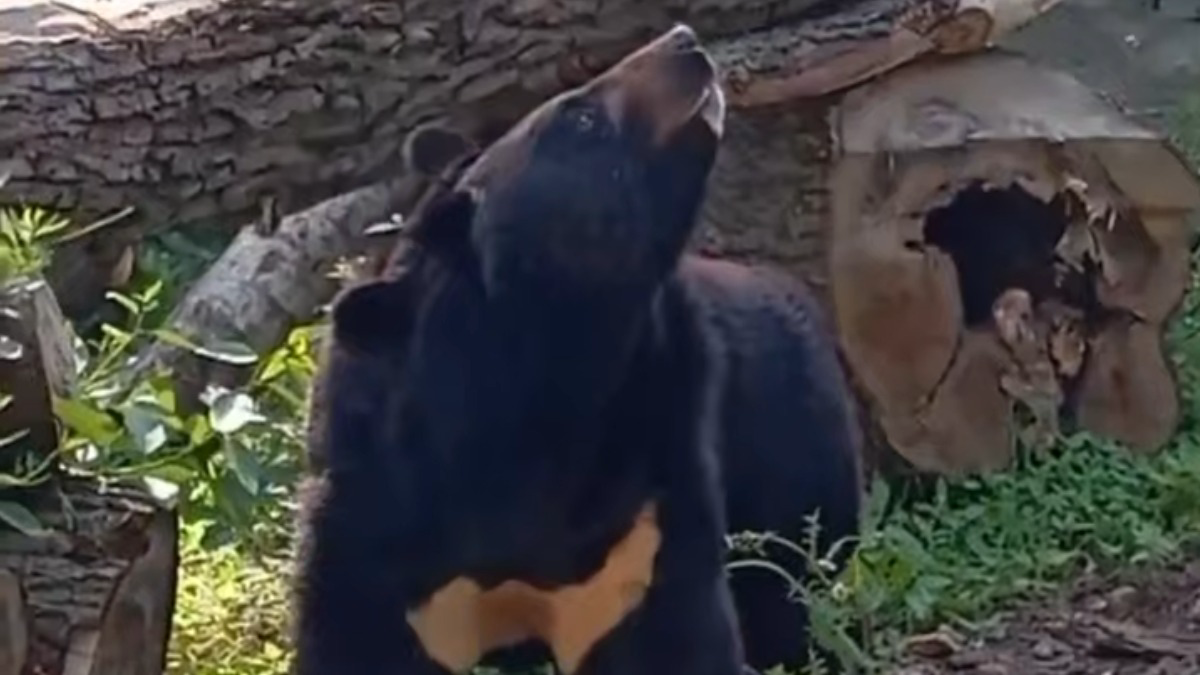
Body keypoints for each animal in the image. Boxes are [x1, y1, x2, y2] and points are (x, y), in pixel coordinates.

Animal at [293, 23, 862, 675]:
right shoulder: (378, 511)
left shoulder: (640, 509)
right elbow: (357, 639)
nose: (685, 41)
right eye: (582, 116)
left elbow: (671, 637)